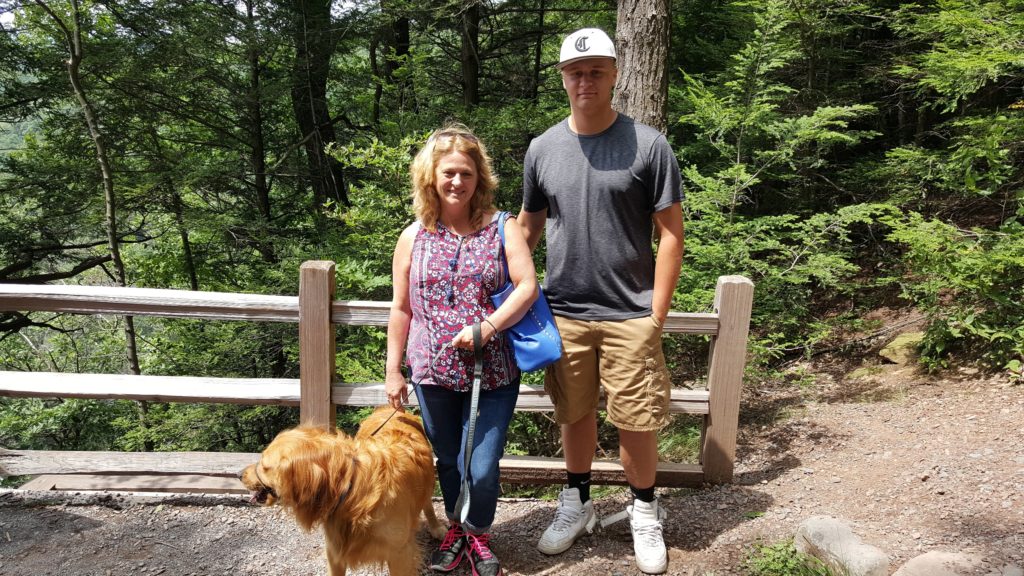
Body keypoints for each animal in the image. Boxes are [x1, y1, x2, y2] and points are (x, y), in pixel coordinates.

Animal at [243, 405, 448, 569]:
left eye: (264, 466)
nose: (240, 474)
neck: (350, 485)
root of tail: (389, 408)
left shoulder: (400, 553)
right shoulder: (335, 551)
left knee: (427, 504)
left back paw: (436, 527)